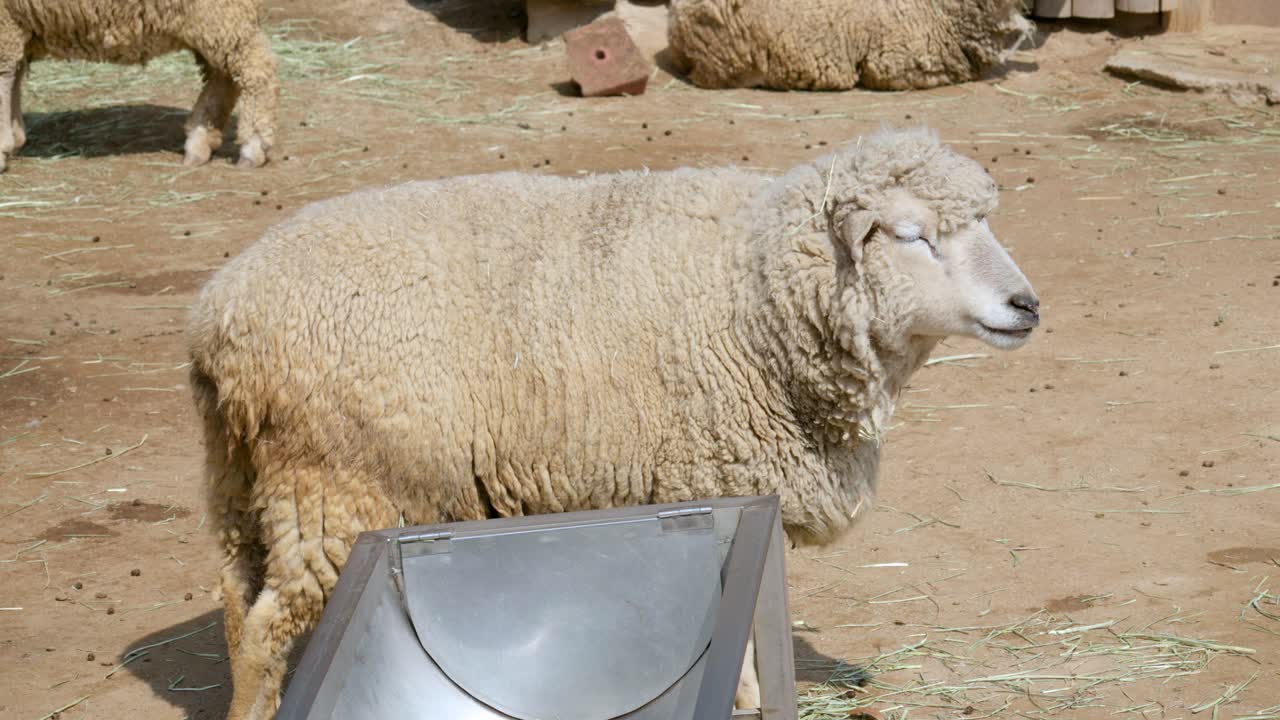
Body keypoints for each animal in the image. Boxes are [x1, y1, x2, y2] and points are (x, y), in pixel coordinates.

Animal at [0, 0, 278, 173]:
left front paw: (4, 147)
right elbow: (12, 78)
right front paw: (14, 138)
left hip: (220, 12)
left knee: (256, 69)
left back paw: (252, 146)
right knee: (223, 76)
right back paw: (200, 142)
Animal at [188, 127, 1040, 719]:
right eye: (912, 234)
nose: (1026, 304)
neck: (754, 284)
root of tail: (219, 316)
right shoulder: (709, 476)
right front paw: (743, 698)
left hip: (241, 481)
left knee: (235, 603)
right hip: (337, 483)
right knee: (267, 626)